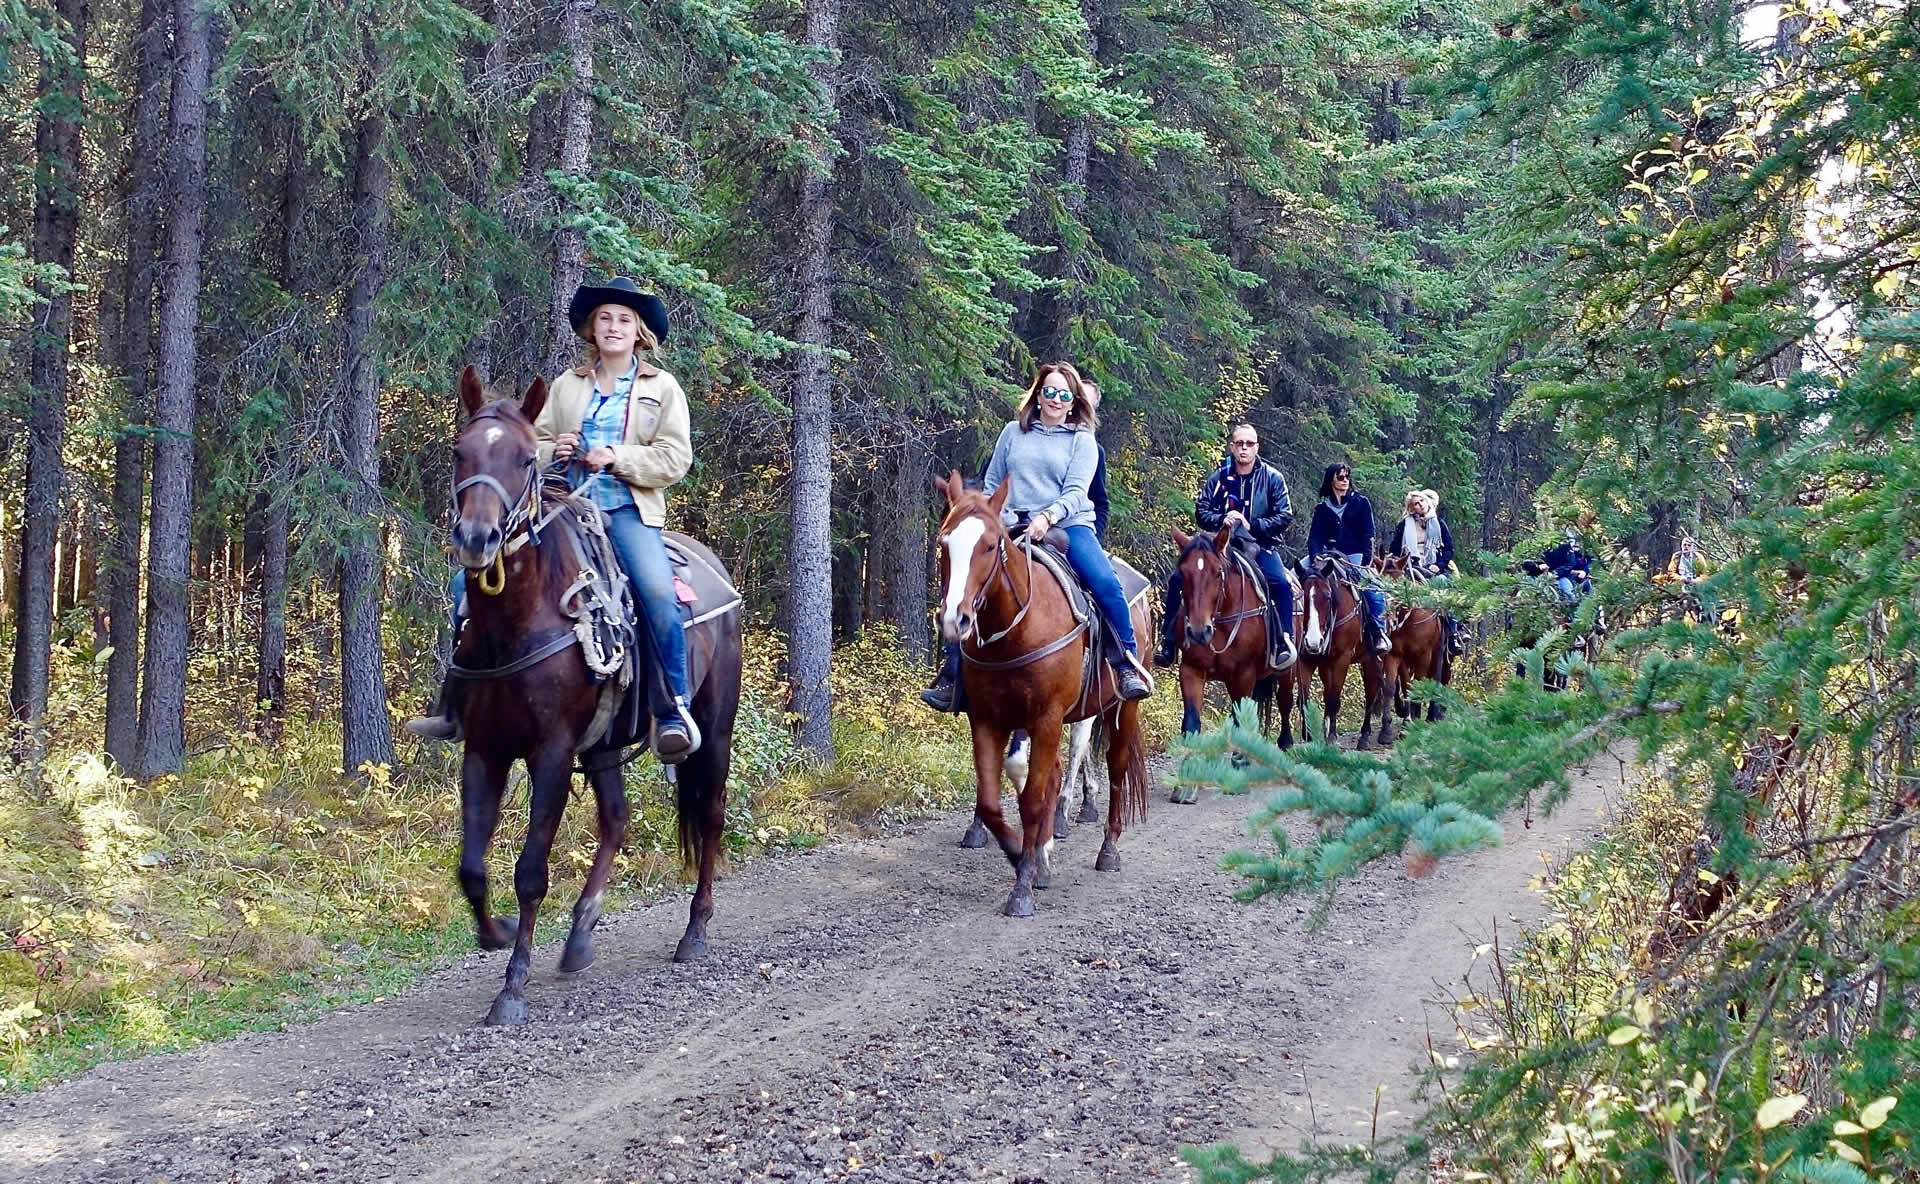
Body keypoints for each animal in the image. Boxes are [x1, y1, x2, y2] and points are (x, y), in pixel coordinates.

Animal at [445, 368, 744, 1028]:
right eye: (460, 453)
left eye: (524, 458)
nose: (477, 539)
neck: (517, 621)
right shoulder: (484, 749)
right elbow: (472, 868)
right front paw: (496, 932)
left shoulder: (553, 753)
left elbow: (531, 871)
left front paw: (512, 989)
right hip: (604, 745)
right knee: (616, 819)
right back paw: (581, 934)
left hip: (714, 726)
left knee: (710, 815)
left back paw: (695, 932)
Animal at [933, 470, 1144, 913]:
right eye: (944, 544)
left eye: (990, 545)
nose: (955, 620)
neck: (1016, 627)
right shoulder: (988, 718)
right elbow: (992, 800)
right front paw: (1022, 855)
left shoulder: (1045, 717)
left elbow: (1031, 796)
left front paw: (1023, 883)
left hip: (1119, 710)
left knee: (1114, 769)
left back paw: (1108, 850)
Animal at [1290, 556, 1382, 748]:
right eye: (1301, 596)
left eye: (1327, 597)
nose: (1313, 641)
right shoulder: (1305, 659)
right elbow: (1303, 699)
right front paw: (1308, 734)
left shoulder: (1342, 659)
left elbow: (1334, 698)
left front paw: (1331, 736)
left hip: (1373, 659)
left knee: (1371, 692)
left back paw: (1366, 735)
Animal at [1374, 552, 1443, 736]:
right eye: (1378, 584)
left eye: (1399, 583)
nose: (1387, 618)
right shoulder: (1395, 655)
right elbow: (1393, 686)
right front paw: (1389, 729)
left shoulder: (1423, 655)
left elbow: (1420, 684)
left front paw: (1414, 720)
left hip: (1438, 653)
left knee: (1437, 677)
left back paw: (1432, 715)